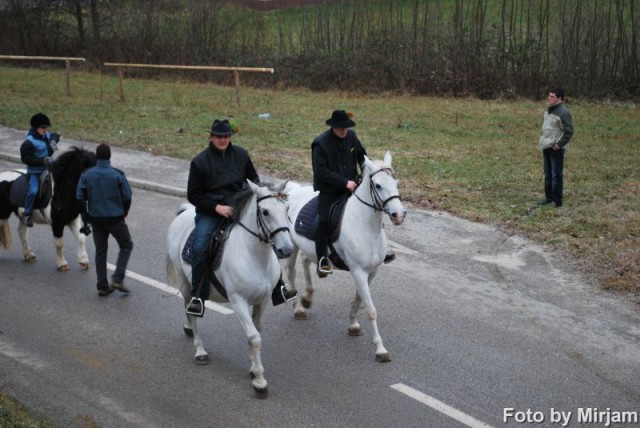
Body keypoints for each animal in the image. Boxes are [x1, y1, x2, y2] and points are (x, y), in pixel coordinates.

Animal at [165, 178, 296, 398]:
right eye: (265, 212)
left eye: (286, 208)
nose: (286, 250)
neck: (255, 256)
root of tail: (184, 212)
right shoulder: (238, 301)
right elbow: (254, 337)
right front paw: (259, 381)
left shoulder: (262, 301)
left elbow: (256, 331)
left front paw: (252, 367)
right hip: (186, 283)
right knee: (191, 310)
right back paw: (200, 350)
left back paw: (188, 329)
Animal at [284, 152, 404, 362]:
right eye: (378, 185)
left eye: (395, 182)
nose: (399, 215)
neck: (366, 226)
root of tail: (294, 192)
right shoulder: (358, 272)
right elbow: (371, 310)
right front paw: (380, 349)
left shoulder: (371, 272)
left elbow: (359, 300)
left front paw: (353, 325)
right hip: (293, 246)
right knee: (291, 272)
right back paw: (298, 308)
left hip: (310, 249)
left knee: (306, 262)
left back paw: (308, 297)